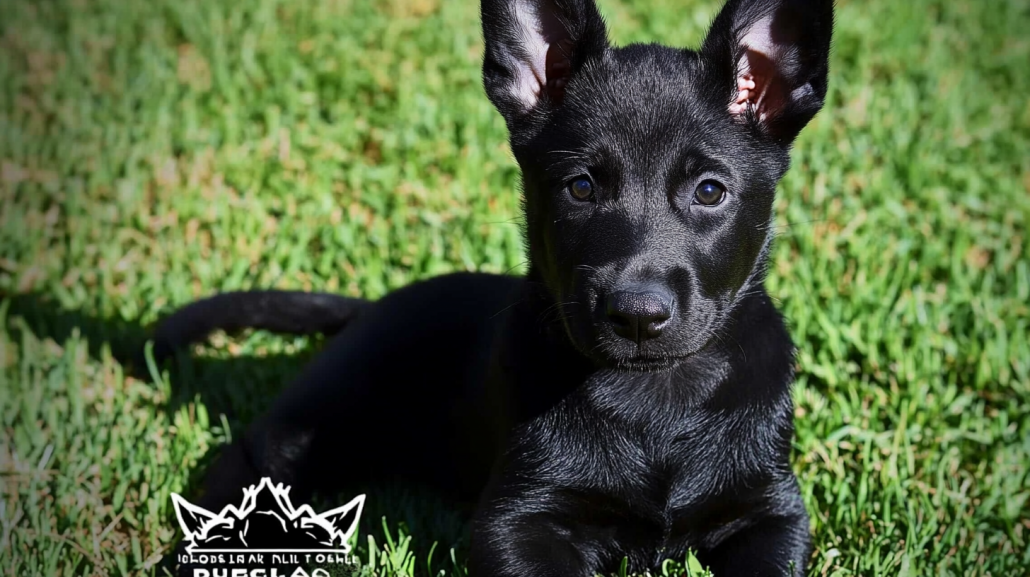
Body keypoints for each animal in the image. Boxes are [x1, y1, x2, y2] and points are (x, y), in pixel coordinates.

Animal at [156, 0, 832, 572]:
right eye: (580, 187)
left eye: (710, 191)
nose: (637, 316)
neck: (658, 404)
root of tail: (371, 308)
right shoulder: (518, 519)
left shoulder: (771, 511)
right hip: (310, 424)